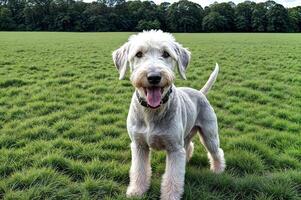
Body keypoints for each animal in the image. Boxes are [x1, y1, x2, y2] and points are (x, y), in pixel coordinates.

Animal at [112, 30, 225, 200]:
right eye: (138, 54)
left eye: (166, 54)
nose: (154, 77)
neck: (152, 112)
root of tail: (200, 93)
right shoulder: (139, 145)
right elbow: (139, 170)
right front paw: (137, 191)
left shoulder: (174, 149)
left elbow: (173, 177)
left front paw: (170, 196)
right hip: (186, 135)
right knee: (189, 146)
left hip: (209, 133)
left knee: (216, 152)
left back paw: (218, 170)